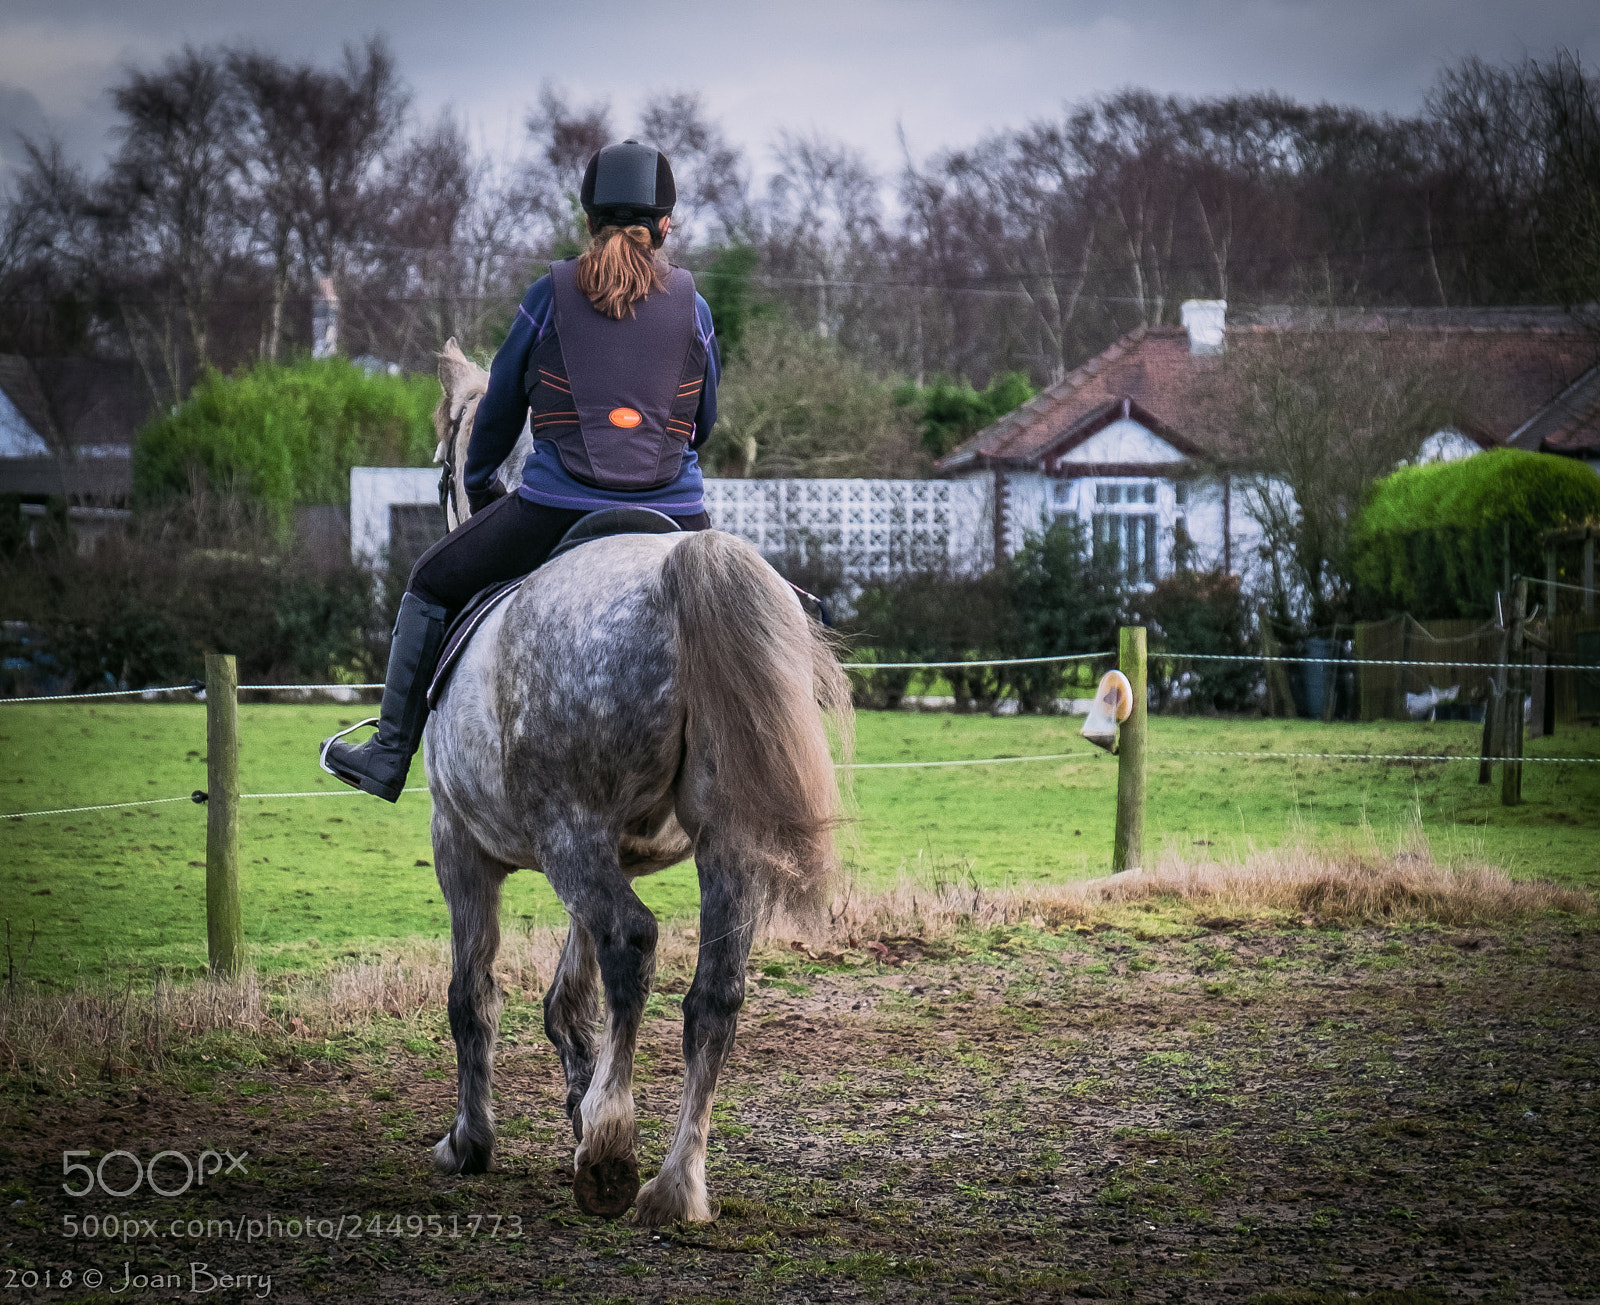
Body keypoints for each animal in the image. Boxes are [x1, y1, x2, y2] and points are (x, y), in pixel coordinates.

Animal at [420, 340, 852, 1225]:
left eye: (444, 464)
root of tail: (682, 564)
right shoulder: (601, 853)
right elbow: (569, 995)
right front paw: (578, 1098)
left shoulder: (463, 846)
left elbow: (472, 994)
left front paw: (474, 1140)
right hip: (719, 843)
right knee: (714, 992)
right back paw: (675, 1182)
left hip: (568, 835)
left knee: (631, 941)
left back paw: (612, 1156)